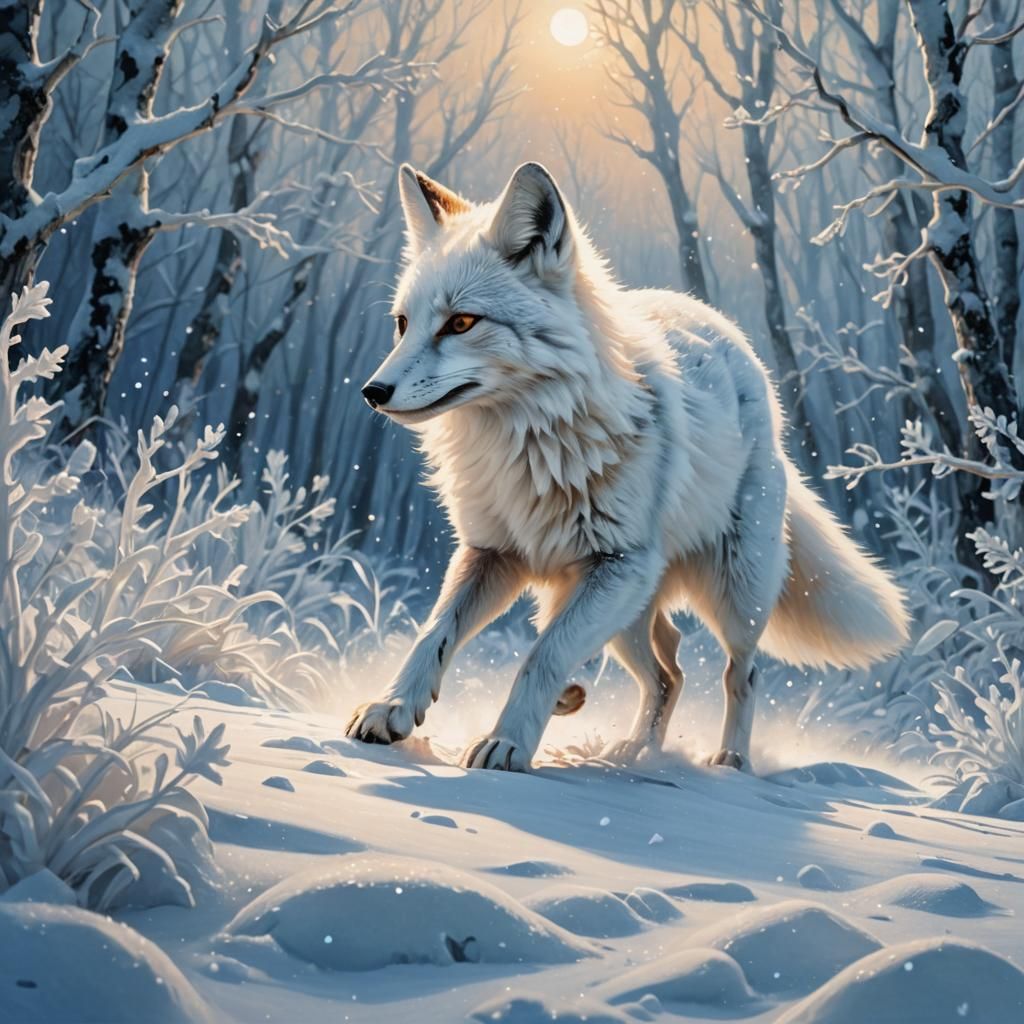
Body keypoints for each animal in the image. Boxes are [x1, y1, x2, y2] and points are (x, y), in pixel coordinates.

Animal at [345, 161, 910, 772]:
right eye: (403, 324)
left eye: (462, 322)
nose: (372, 392)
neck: (528, 447)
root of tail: (726, 332)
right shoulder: (492, 554)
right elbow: (435, 633)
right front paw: (392, 708)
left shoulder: (619, 564)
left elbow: (542, 657)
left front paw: (508, 743)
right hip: (624, 610)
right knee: (670, 669)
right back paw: (635, 749)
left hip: (729, 594)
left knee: (742, 672)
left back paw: (728, 761)